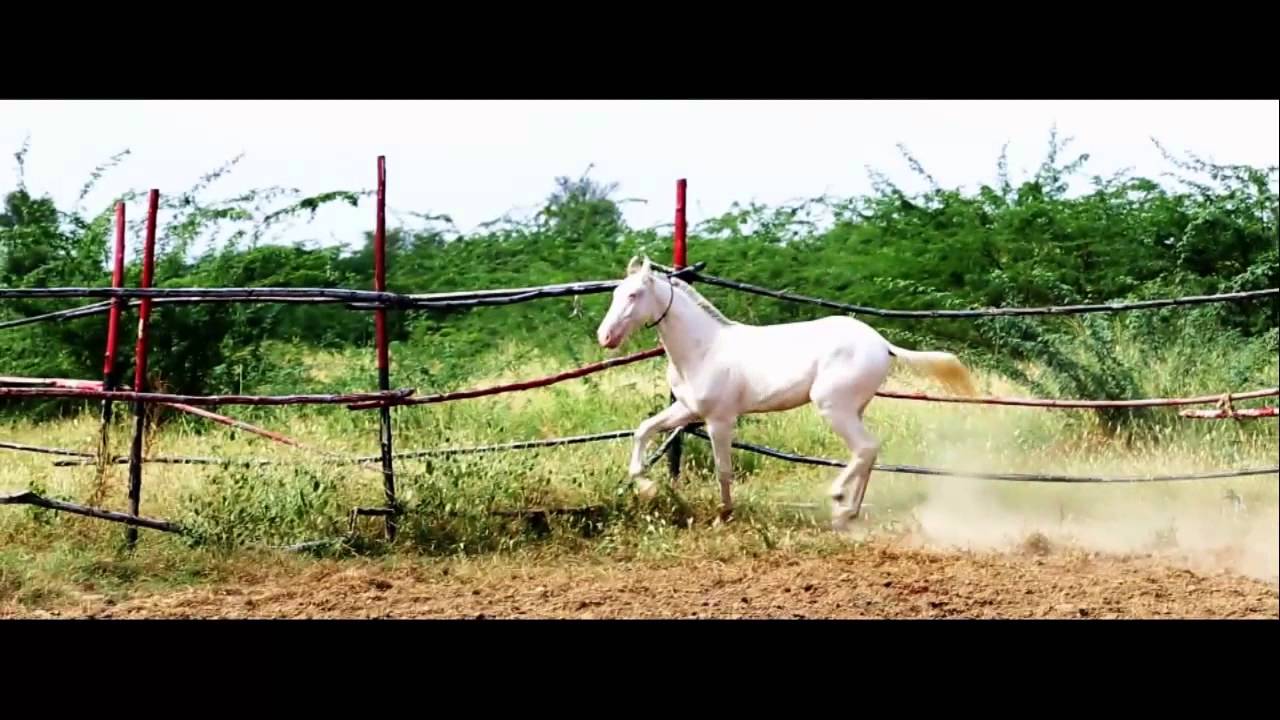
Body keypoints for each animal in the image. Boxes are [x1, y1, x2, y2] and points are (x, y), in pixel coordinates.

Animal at [595, 255, 977, 528]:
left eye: (634, 295)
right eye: (614, 294)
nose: (605, 337)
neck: (704, 349)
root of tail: (882, 343)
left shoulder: (720, 419)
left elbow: (723, 469)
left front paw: (723, 515)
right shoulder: (687, 410)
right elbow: (643, 430)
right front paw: (646, 488)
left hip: (832, 407)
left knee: (865, 449)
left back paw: (838, 501)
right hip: (854, 409)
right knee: (868, 452)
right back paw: (849, 512)